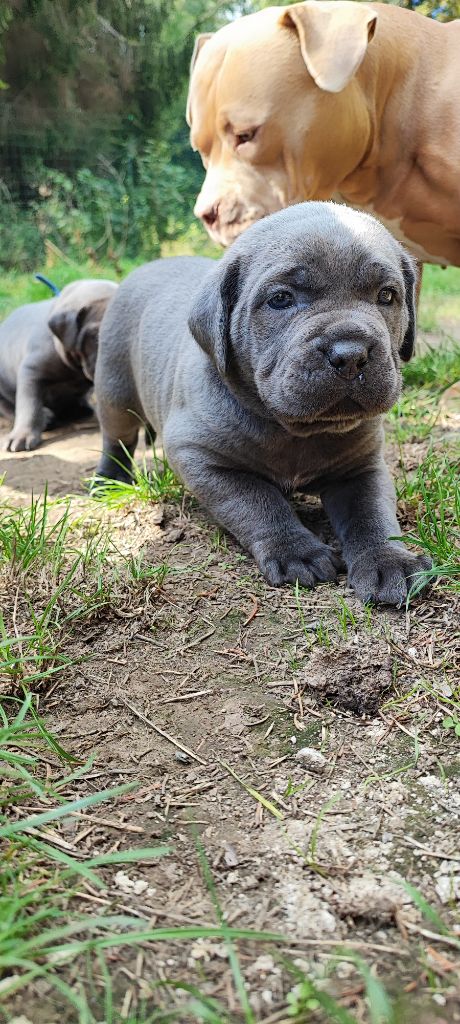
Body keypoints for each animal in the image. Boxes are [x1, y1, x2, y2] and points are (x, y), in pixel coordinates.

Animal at [1, 278, 117, 450]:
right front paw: (22, 436)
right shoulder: (30, 372)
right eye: (96, 337)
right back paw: (46, 417)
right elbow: (28, 405)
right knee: (8, 408)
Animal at [95, 199, 430, 602]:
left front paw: (388, 560)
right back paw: (108, 480)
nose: (350, 354)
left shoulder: (362, 467)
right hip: (114, 387)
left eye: (387, 296)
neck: (296, 431)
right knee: (117, 438)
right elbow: (257, 501)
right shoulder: (201, 457)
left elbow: (372, 513)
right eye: (281, 299)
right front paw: (296, 553)